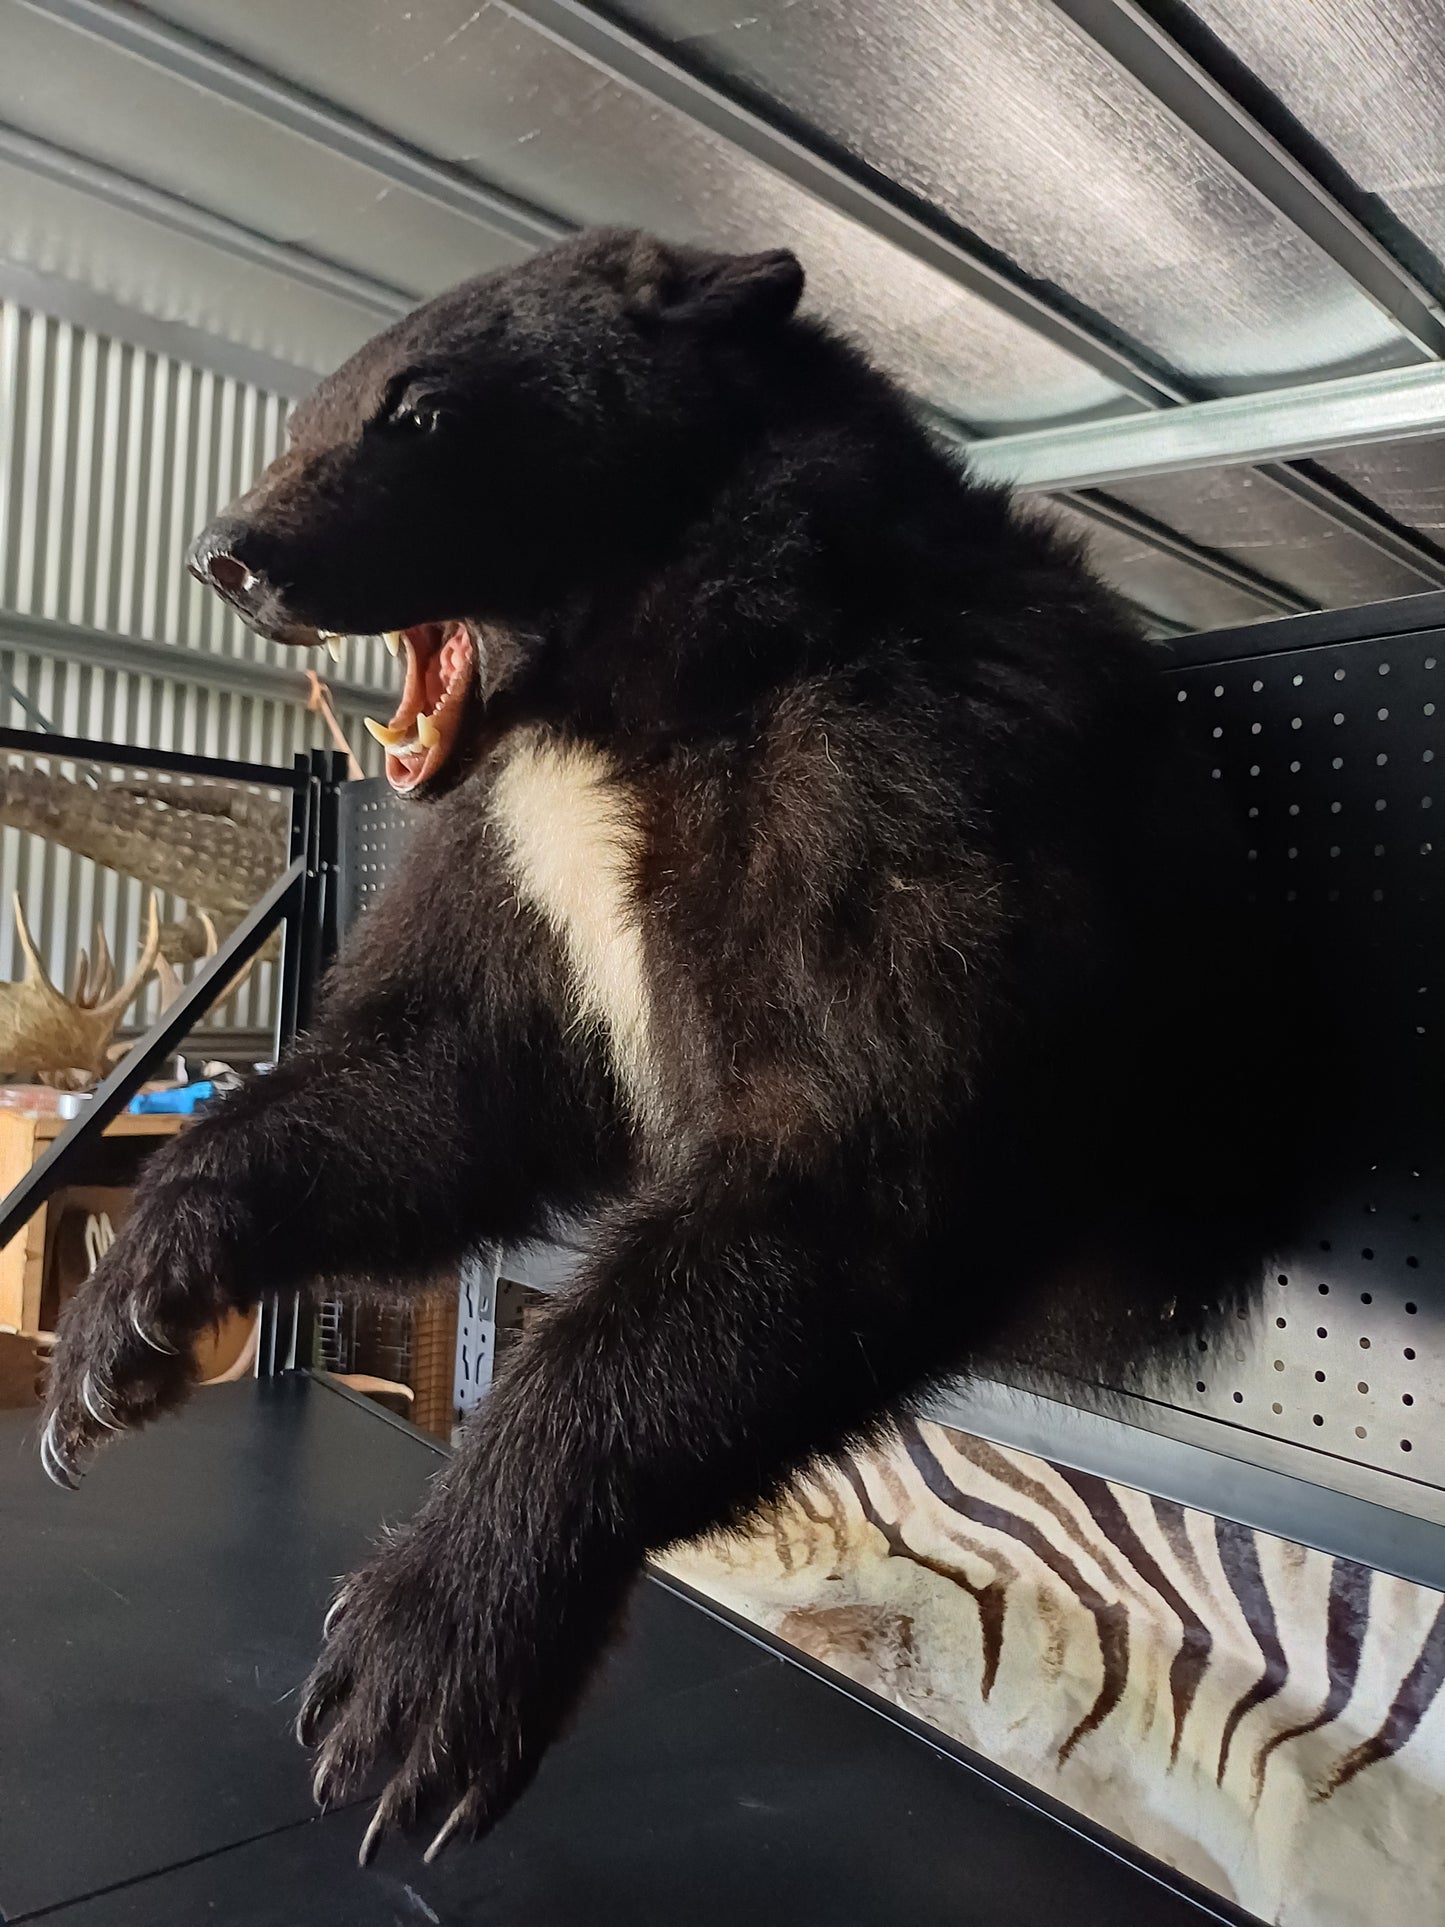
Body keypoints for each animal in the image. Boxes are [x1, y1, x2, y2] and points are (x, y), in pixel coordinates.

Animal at [41, 228, 1281, 1862]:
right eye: (309, 410)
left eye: (419, 412)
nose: (229, 553)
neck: (624, 702)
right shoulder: (512, 857)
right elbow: (444, 1077)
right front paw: (117, 1326)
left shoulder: (895, 782)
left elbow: (846, 1147)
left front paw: (417, 1668)